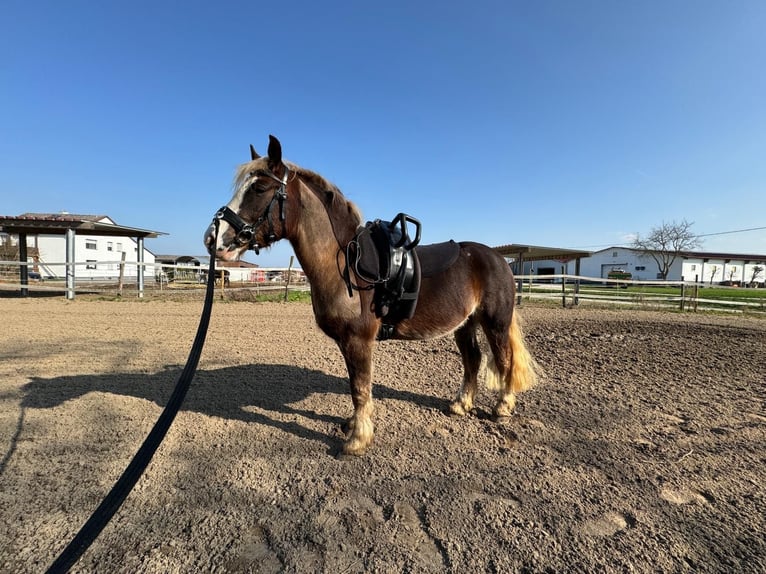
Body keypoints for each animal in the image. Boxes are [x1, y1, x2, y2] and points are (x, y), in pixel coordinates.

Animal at [204, 136, 540, 460]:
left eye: (259, 188)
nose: (212, 238)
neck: (344, 266)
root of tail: (498, 259)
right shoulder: (346, 342)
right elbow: (357, 385)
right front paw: (353, 425)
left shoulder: (358, 340)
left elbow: (360, 387)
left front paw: (357, 440)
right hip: (465, 324)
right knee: (473, 359)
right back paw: (460, 405)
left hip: (495, 322)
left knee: (503, 359)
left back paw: (502, 407)